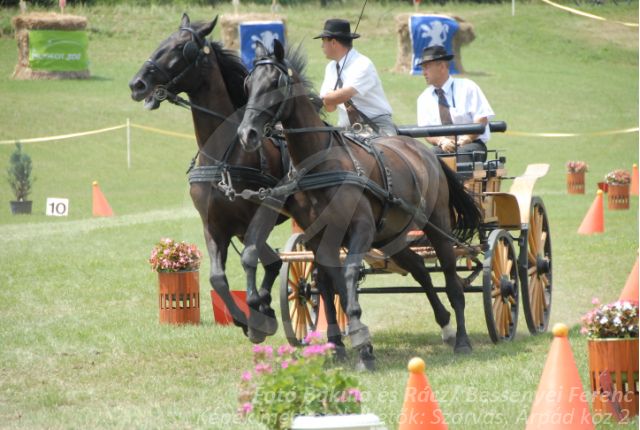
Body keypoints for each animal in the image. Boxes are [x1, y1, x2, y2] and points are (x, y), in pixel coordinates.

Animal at [129, 14, 290, 343]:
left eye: (180, 47)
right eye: (162, 40)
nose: (137, 84)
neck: (224, 155)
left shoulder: (258, 216)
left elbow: (250, 259)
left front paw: (257, 312)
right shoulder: (214, 224)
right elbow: (218, 278)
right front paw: (249, 317)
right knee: (274, 262)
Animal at [237, 39, 482, 370]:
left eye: (275, 84)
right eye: (248, 84)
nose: (246, 134)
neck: (320, 165)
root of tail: (426, 152)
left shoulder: (361, 229)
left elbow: (349, 273)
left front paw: (362, 345)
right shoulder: (317, 238)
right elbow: (329, 285)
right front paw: (343, 344)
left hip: (438, 226)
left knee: (453, 283)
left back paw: (462, 340)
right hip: (392, 236)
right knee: (419, 269)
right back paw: (444, 325)